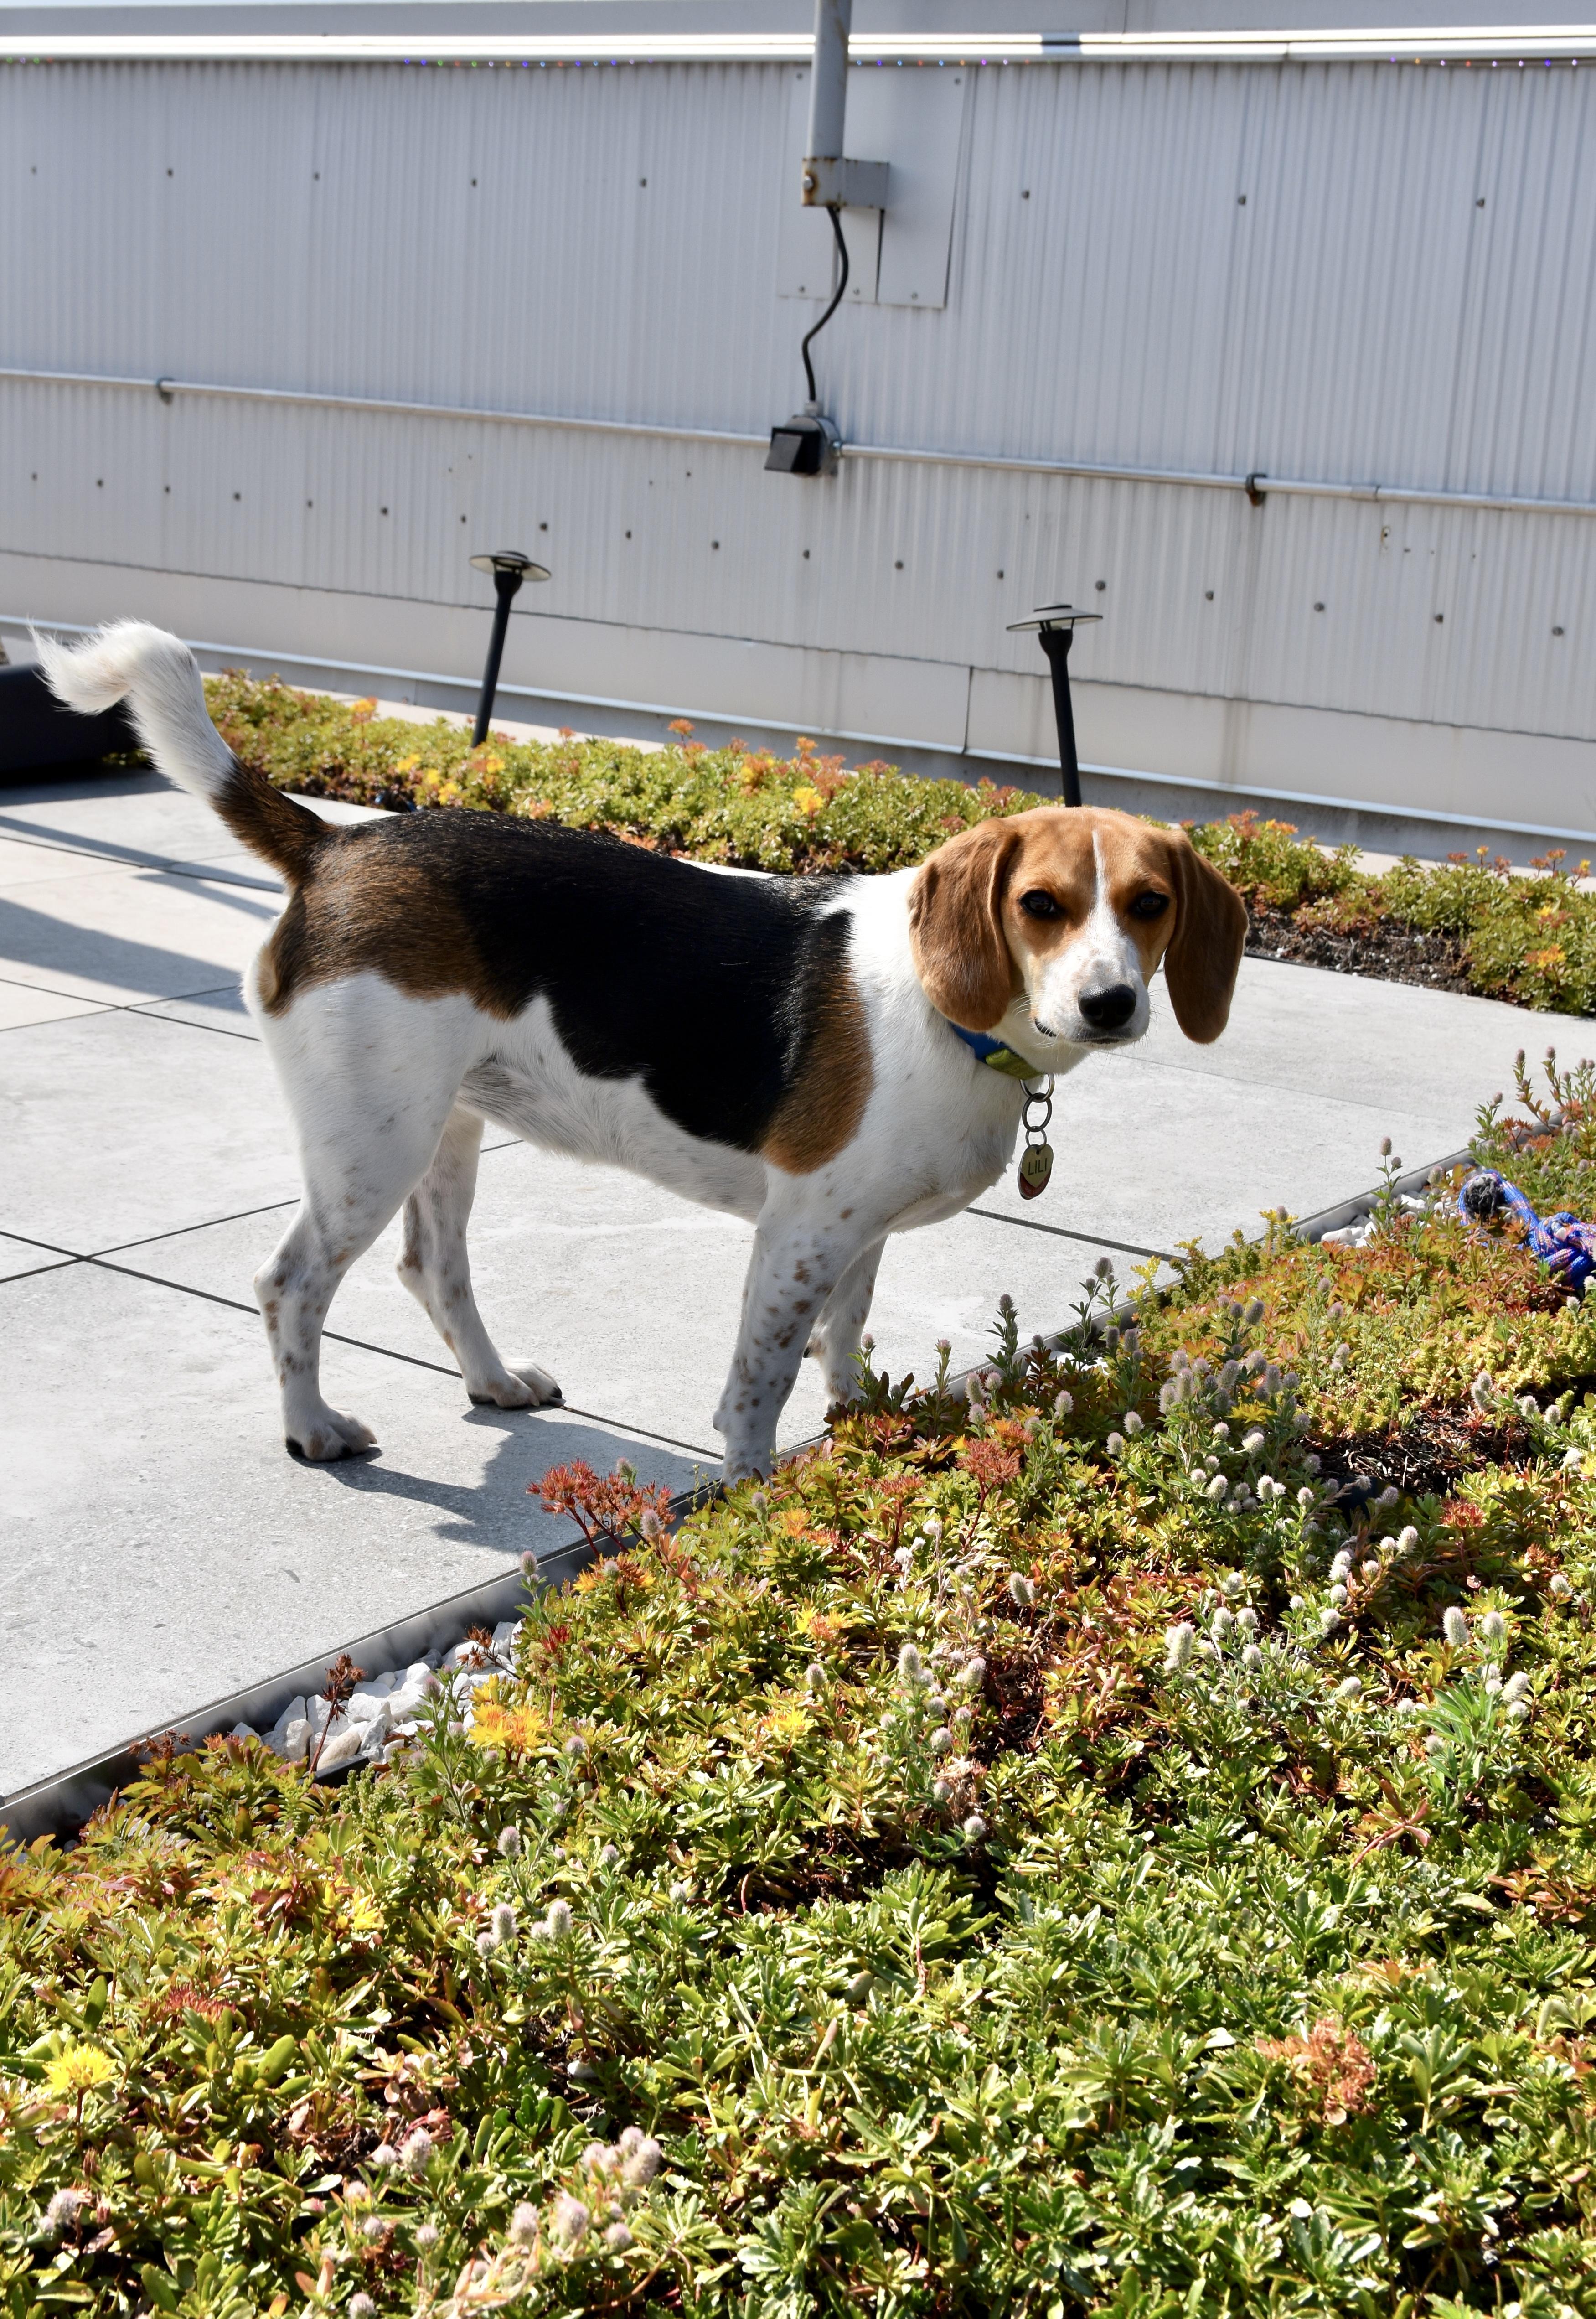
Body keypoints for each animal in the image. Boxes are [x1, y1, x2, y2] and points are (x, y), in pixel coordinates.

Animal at [43, 626, 1252, 1475]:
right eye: (1040, 904)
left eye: (1149, 904)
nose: (1109, 1003)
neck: (944, 1010)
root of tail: (338, 842)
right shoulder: (799, 1232)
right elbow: (761, 1380)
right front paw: (754, 1494)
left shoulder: (857, 1231)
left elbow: (845, 1335)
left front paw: (865, 1423)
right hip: (368, 1147)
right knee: (289, 1282)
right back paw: (313, 1428)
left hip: (443, 1127)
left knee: (434, 1268)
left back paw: (494, 1380)